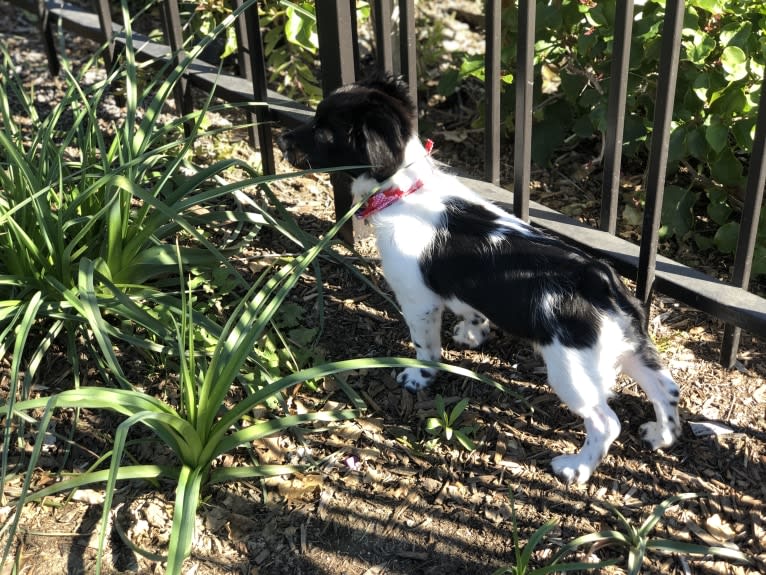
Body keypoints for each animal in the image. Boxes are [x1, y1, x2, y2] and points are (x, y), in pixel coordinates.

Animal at [280, 74, 684, 484]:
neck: (406, 191)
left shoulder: (417, 301)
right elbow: (470, 310)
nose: (282, 138)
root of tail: (599, 280)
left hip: (573, 372)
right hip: (631, 349)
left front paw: (419, 377)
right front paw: (472, 334)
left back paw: (576, 467)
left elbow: (425, 348)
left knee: (606, 423)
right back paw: (661, 435)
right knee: (667, 389)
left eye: (323, 130)